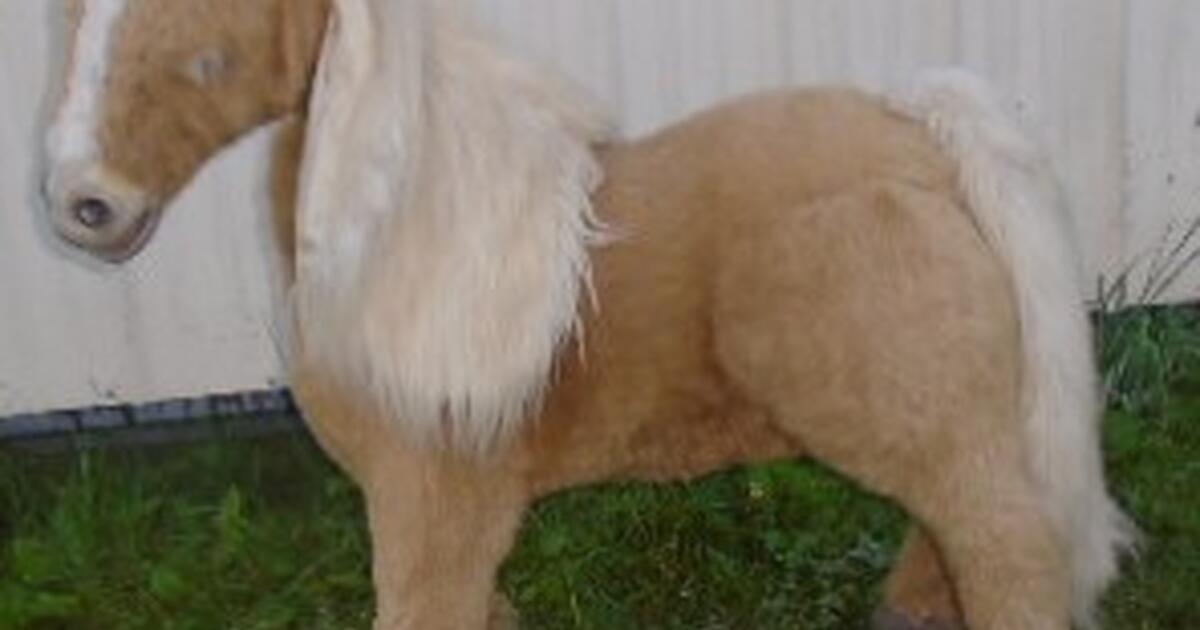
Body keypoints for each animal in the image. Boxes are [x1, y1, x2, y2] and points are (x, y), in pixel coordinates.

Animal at [42, 1, 1135, 628]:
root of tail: (924, 139)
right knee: (970, 527)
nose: (81, 205)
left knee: (1011, 544)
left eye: (204, 58)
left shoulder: (431, 502)